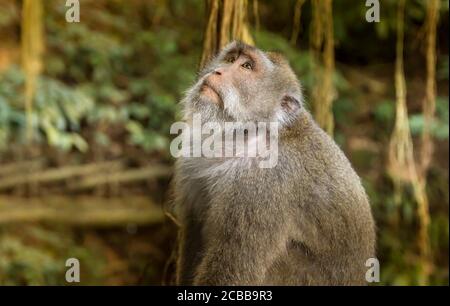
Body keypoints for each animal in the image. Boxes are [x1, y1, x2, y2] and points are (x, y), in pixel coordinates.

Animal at [172, 41, 376, 286]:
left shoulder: (263, 186)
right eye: (230, 60)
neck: (246, 135)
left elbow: (235, 266)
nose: (217, 71)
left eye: (247, 66)